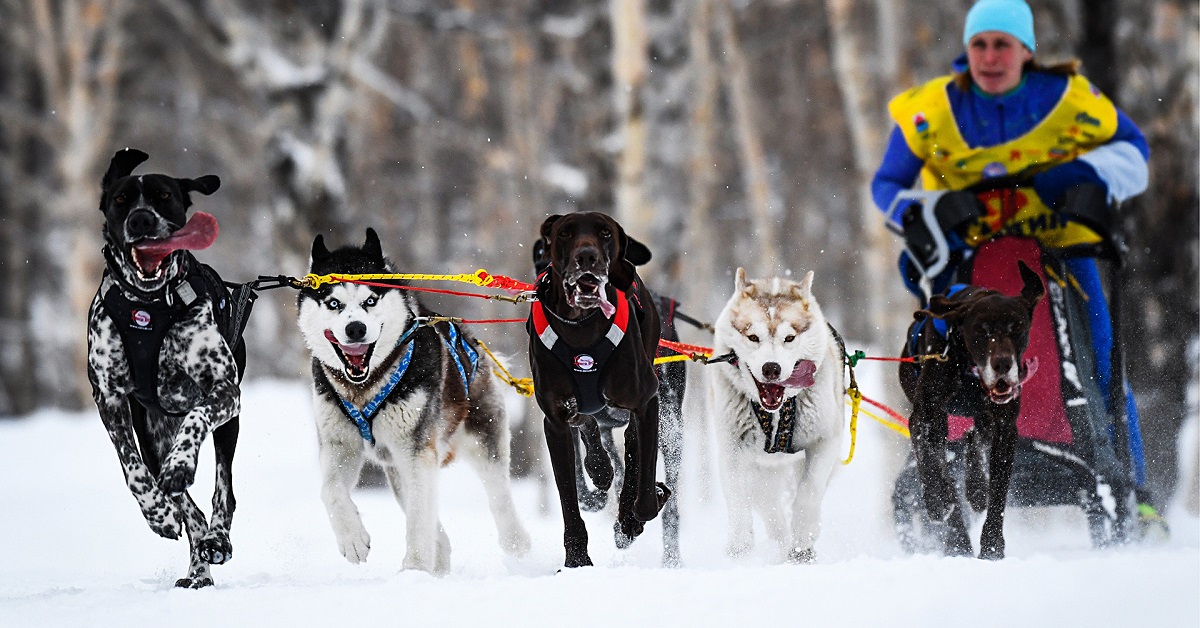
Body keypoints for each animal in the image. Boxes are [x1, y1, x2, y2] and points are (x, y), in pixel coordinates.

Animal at [85, 148, 246, 590]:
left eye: (164, 196)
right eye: (121, 200)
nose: (141, 220)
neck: (148, 307)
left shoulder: (225, 389)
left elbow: (197, 417)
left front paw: (181, 464)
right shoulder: (110, 398)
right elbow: (132, 468)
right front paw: (157, 513)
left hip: (229, 424)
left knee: (223, 491)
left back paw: (217, 541)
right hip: (151, 432)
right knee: (189, 508)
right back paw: (197, 566)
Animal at [296, 229, 530, 573]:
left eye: (370, 300)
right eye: (333, 303)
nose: (356, 328)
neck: (364, 386)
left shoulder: (417, 450)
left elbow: (419, 519)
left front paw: (414, 570)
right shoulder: (340, 445)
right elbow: (330, 491)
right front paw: (352, 539)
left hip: (478, 437)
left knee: (498, 499)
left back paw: (518, 547)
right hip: (397, 466)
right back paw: (440, 554)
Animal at [530, 212, 672, 569]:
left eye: (606, 233)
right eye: (565, 233)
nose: (587, 257)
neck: (581, 326)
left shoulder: (646, 400)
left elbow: (645, 488)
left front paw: (634, 517)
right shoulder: (555, 421)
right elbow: (569, 497)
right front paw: (577, 559)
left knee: (632, 445)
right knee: (590, 426)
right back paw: (601, 468)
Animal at [902, 260, 1041, 559]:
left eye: (1017, 328)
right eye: (981, 330)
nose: (1002, 364)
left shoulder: (1005, 428)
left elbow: (998, 491)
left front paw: (992, 546)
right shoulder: (924, 416)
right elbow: (930, 462)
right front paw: (937, 500)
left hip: (985, 417)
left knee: (974, 438)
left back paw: (975, 489)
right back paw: (957, 540)